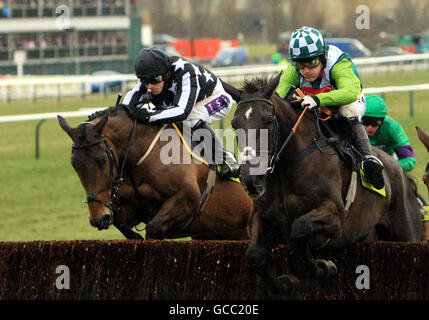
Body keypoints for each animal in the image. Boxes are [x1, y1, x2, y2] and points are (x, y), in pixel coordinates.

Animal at [56, 105, 251, 240]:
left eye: (102, 160)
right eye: (74, 165)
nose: (98, 218)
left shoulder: (187, 199)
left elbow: (153, 229)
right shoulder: (131, 210)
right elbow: (121, 221)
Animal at [224, 75, 422, 298]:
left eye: (267, 120)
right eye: (235, 123)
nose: (251, 179)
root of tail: (401, 173)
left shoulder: (336, 217)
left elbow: (299, 228)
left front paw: (323, 267)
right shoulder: (265, 216)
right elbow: (255, 254)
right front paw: (286, 283)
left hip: (406, 232)